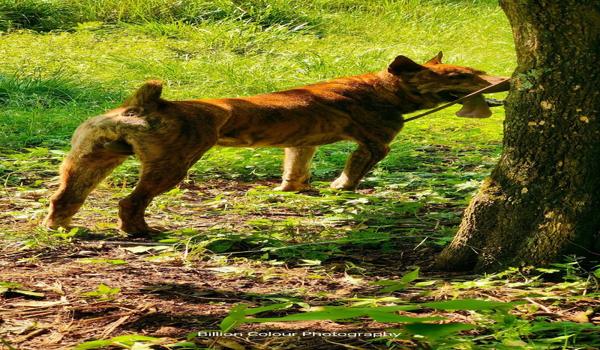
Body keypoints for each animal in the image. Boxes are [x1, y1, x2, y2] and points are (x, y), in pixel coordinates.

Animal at [44, 52, 508, 235]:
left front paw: (296, 190)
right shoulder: (376, 144)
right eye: (458, 77)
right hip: (170, 167)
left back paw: (59, 226)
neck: (380, 86)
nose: (503, 80)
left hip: (89, 161)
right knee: (130, 203)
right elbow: (353, 172)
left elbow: (296, 170)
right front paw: (342, 190)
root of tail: (144, 102)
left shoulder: (300, 145)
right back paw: (139, 230)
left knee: (63, 198)